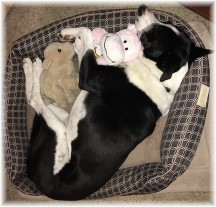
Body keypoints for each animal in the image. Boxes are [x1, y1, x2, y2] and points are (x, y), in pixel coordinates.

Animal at [23, 4, 211, 200]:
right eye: (167, 22)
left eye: (155, 33)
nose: (142, 8)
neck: (159, 77)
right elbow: (86, 41)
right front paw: (71, 36)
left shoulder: (89, 77)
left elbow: (87, 34)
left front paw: (75, 36)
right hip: (63, 121)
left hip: (58, 136)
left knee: (35, 101)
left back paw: (33, 68)